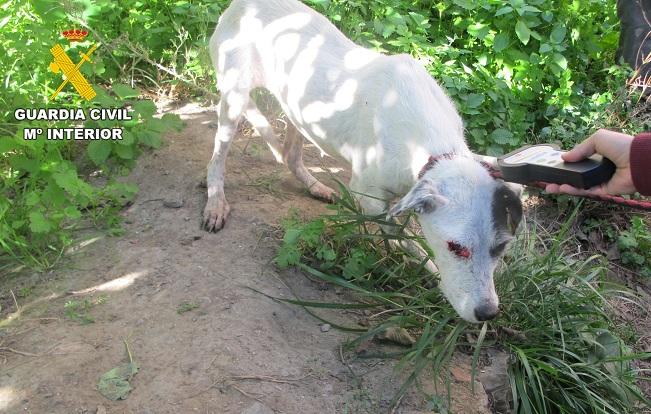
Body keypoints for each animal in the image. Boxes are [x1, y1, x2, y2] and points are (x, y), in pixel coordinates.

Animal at [205, 0, 524, 324]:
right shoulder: (368, 197)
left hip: (298, 109)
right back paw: (216, 202)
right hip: (234, 101)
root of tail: (240, 5)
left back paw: (315, 185)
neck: (428, 144)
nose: (488, 313)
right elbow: (405, 241)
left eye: (501, 246)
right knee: (217, 160)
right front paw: (431, 275)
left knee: (291, 156)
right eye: (456, 247)